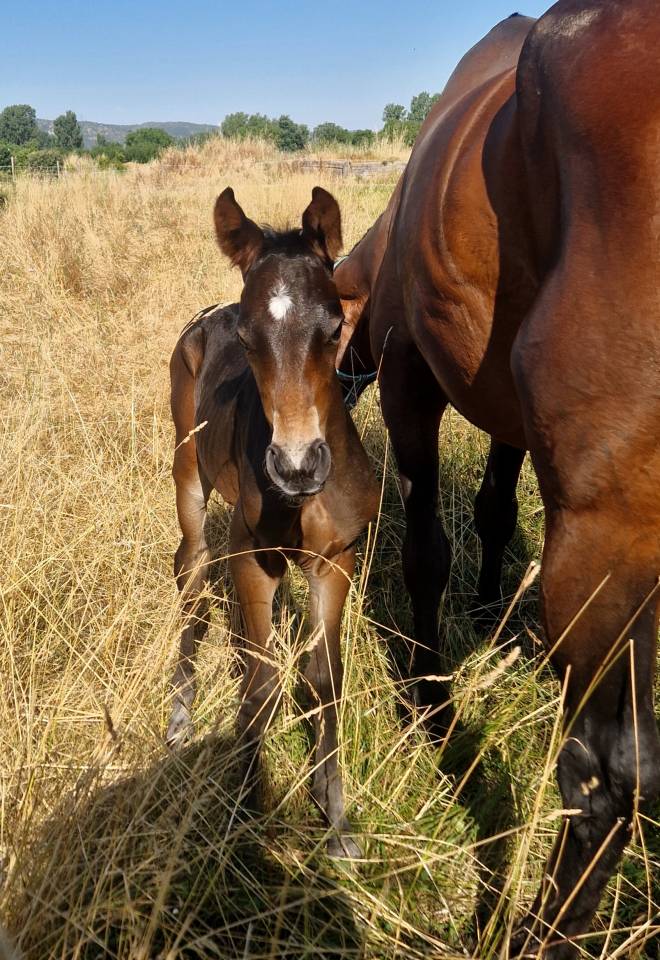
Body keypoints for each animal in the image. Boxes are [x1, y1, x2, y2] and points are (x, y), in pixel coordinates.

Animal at [167, 186, 379, 857]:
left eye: (334, 329)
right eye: (247, 336)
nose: (297, 466)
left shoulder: (336, 559)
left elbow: (325, 678)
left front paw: (335, 820)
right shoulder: (253, 559)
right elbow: (261, 685)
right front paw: (246, 808)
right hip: (187, 468)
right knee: (191, 570)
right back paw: (179, 714)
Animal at [334, 4, 660, 956]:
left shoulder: (409, 375)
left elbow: (427, 553)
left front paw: (431, 699)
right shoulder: (510, 419)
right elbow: (490, 511)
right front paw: (485, 614)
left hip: (607, 529)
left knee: (609, 773)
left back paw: (539, 932)